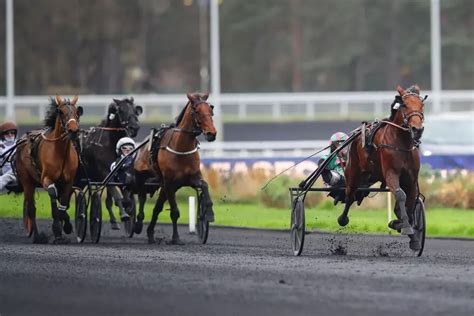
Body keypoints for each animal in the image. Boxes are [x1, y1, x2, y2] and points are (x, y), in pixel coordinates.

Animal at [16, 95, 83, 243]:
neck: (60, 152)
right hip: (27, 182)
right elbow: (53, 194)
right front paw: (57, 230)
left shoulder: (68, 181)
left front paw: (66, 226)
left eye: (77, 112)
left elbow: (63, 202)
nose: (73, 131)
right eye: (61, 112)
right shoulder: (47, 178)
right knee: (31, 208)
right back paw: (37, 236)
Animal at [80, 97, 143, 228]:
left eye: (135, 110)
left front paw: (127, 209)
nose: (134, 128)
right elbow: (117, 196)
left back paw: (114, 221)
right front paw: (123, 215)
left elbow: (124, 197)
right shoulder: (105, 172)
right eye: (121, 110)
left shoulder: (119, 173)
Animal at [134, 91, 218, 244]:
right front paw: (176, 238)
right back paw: (137, 224)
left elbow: (204, 185)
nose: (211, 133)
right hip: (144, 178)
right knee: (142, 196)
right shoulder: (169, 183)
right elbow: (174, 212)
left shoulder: (191, 178)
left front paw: (208, 213)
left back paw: (150, 233)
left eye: (211, 110)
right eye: (196, 111)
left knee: (157, 207)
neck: (181, 148)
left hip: (164, 187)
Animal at [336, 85, 426, 251]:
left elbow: (409, 202)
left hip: (372, 174)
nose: (417, 129)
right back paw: (342, 219)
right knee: (350, 195)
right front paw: (405, 226)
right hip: (353, 172)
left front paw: (407, 230)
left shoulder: (411, 178)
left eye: (421, 105)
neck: (402, 143)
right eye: (404, 105)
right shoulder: (391, 174)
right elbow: (401, 195)